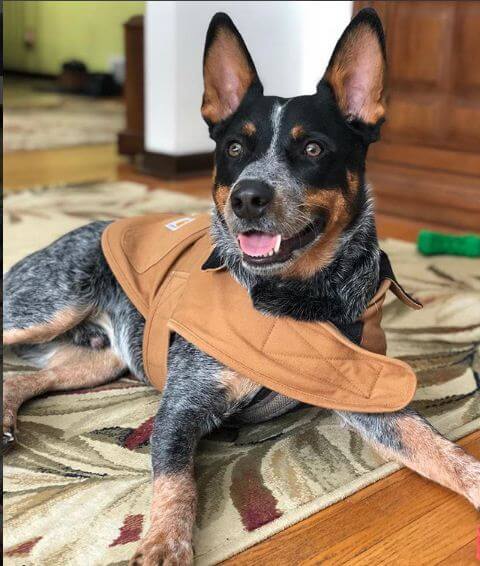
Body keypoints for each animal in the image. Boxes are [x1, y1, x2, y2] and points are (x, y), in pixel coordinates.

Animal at [3, 9, 479, 565]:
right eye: (234, 147)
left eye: (312, 147)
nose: (247, 198)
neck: (294, 299)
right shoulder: (181, 407)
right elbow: (175, 482)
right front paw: (163, 543)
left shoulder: (365, 389)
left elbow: (438, 446)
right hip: (48, 308)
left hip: (99, 358)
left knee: (21, 378)